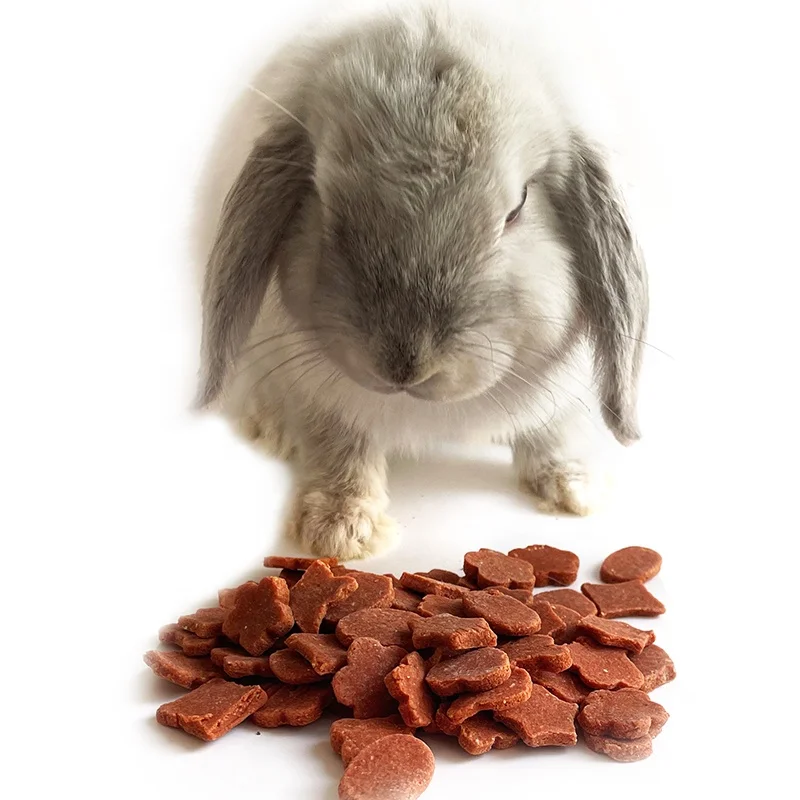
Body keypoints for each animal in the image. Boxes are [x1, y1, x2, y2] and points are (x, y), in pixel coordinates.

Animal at [196, 0, 649, 560]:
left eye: (518, 206)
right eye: (323, 198)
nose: (404, 365)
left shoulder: (563, 393)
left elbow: (553, 434)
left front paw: (572, 490)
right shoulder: (320, 398)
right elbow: (340, 452)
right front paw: (342, 531)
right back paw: (270, 429)